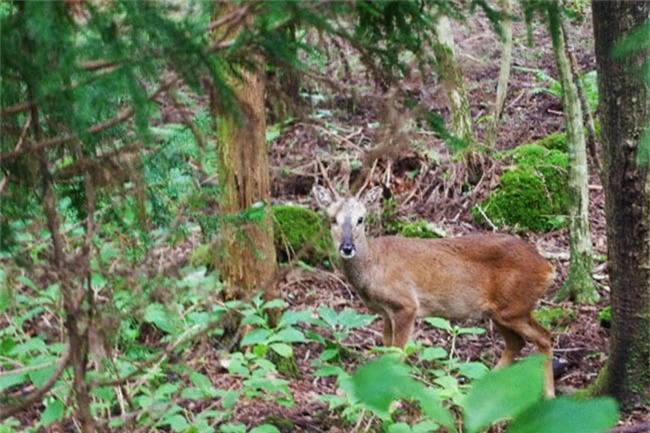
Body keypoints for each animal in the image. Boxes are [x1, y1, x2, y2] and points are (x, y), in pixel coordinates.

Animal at [312, 184, 556, 396]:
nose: (347, 248)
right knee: (518, 342)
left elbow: (398, 355)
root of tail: (547, 268)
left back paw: (549, 394)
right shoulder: (386, 312)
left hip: (513, 307)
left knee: (544, 336)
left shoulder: (406, 305)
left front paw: (393, 403)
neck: (373, 266)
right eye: (332, 219)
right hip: (500, 311)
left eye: (360, 219)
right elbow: (387, 349)